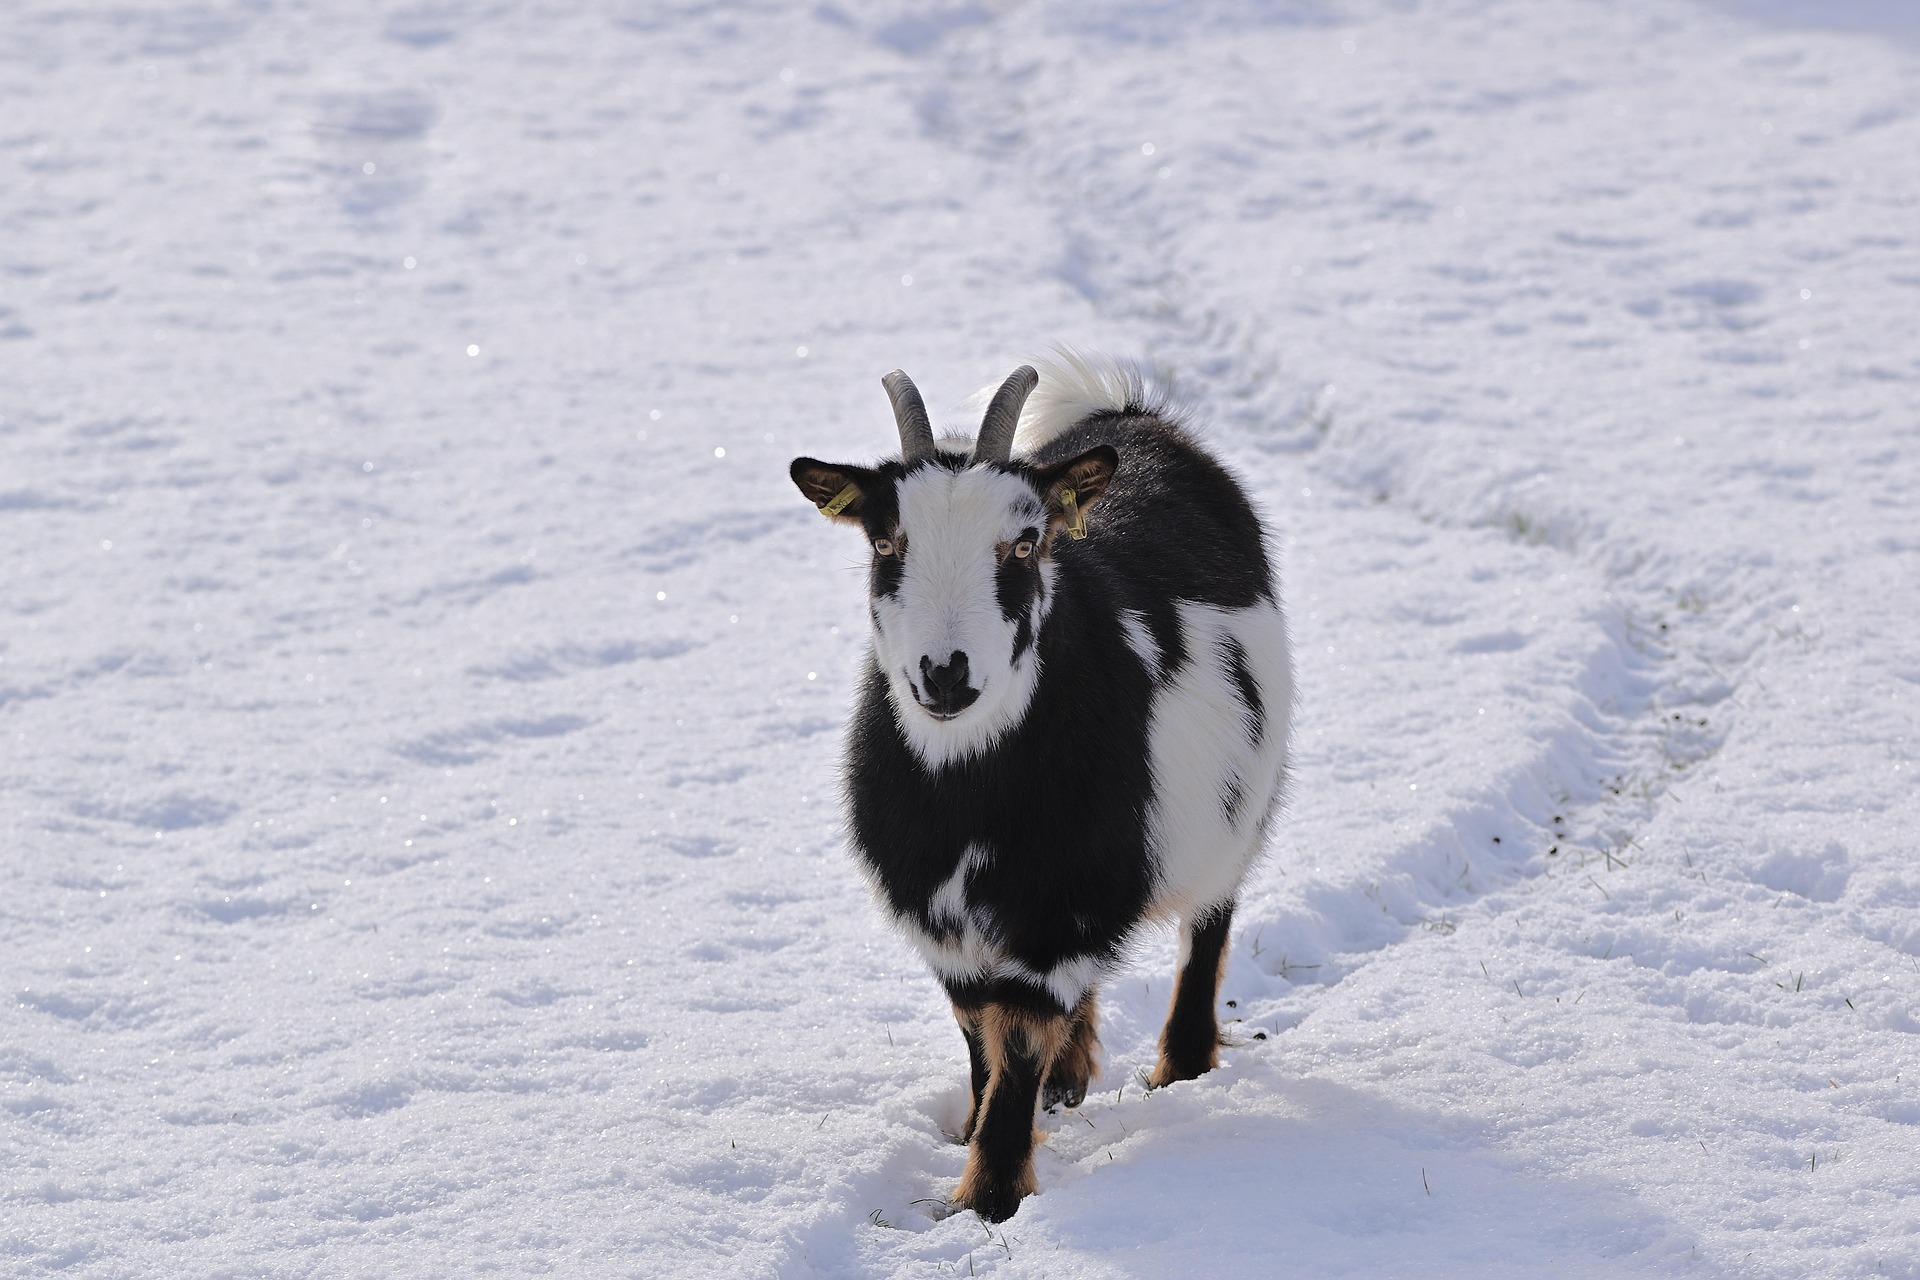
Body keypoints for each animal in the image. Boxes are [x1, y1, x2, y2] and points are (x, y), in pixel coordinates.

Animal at [789, 352, 1292, 1222]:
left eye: (1024, 545)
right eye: (885, 542)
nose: (945, 674)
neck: (970, 791)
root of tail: (1129, 414)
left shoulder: (1062, 912)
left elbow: (1017, 1039)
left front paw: (989, 1198)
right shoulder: (950, 924)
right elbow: (980, 1036)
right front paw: (982, 1145)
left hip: (1238, 810)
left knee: (1210, 922)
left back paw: (1181, 1066)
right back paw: (1074, 1073)